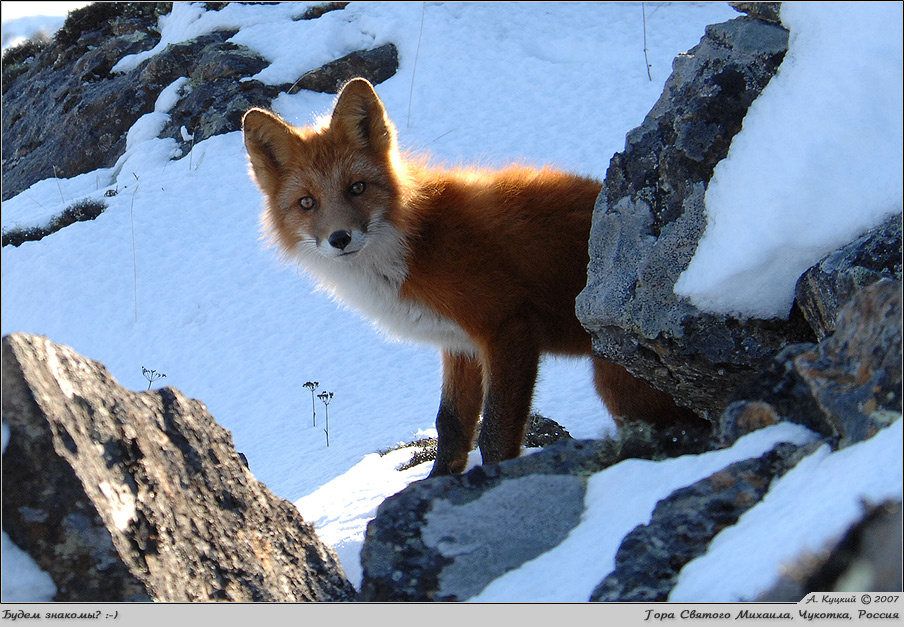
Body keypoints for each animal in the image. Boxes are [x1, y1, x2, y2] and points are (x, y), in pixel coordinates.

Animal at [242, 78, 699, 476]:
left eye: (357, 188)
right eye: (307, 203)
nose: (340, 238)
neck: (413, 244)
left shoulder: (507, 328)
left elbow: (494, 433)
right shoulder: (459, 344)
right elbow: (451, 425)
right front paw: (438, 482)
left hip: (617, 383)